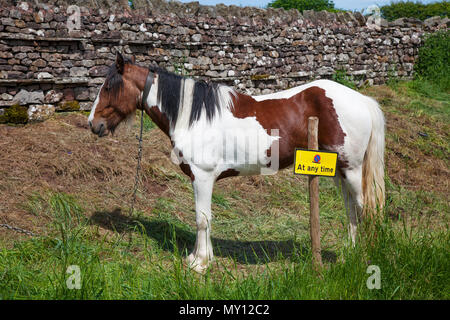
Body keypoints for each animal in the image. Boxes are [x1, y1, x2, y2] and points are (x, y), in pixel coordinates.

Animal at [89, 53, 384, 272]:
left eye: (108, 87)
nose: (93, 124)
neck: (191, 116)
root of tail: (362, 100)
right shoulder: (199, 179)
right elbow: (203, 217)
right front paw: (198, 257)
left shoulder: (203, 176)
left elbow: (202, 219)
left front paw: (200, 263)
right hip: (339, 171)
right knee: (351, 209)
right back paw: (349, 252)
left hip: (352, 170)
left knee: (364, 208)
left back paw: (365, 255)